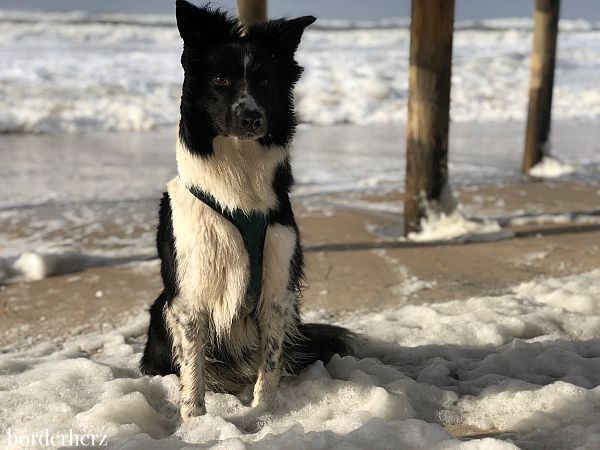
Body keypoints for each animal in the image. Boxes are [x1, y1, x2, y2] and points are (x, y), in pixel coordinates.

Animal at [139, 0, 356, 422]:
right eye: (220, 79)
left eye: (265, 82)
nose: (251, 117)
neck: (237, 178)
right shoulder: (190, 297)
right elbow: (193, 369)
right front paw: (194, 421)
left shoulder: (277, 289)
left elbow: (269, 363)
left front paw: (263, 411)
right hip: (161, 307)